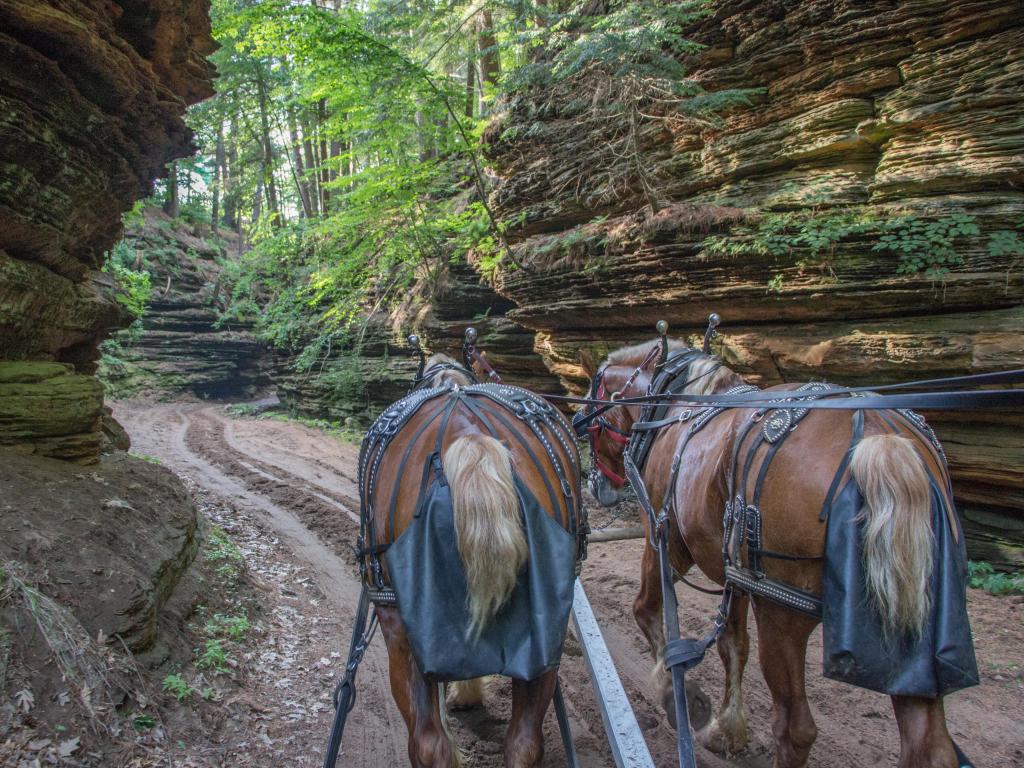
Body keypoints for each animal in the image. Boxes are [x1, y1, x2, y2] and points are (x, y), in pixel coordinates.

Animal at [360, 360, 585, 768]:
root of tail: (471, 437)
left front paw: (465, 696)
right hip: (546, 637)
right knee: (525, 741)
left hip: (398, 624)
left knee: (428, 742)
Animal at [585, 339, 974, 768]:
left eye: (590, 417)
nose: (597, 485)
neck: (670, 406)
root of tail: (876, 437)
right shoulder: (732, 572)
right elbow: (733, 645)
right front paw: (728, 729)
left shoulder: (664, 540)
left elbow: (646, 611)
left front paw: (678, 697)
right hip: (917, 635)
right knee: (930, 747)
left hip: (780, 611)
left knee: (794, 728)